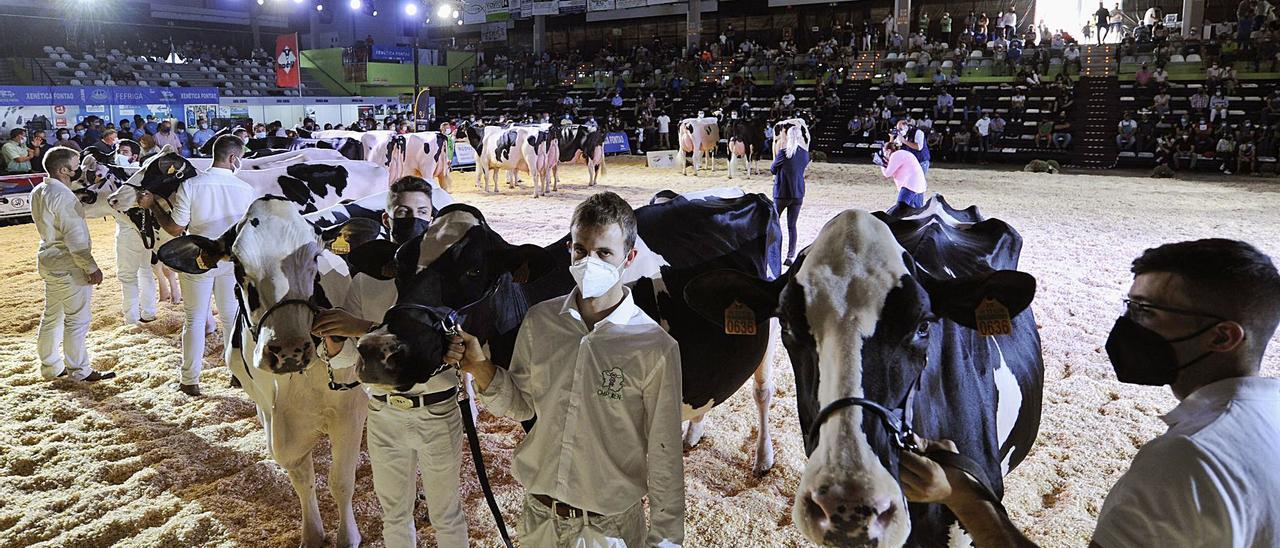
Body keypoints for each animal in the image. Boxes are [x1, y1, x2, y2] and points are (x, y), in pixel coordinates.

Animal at [353, 190, 788, 473]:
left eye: (474, 269)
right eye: (399, 262)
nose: (379, 349)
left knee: (762, 391)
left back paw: (763, 458)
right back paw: (693, 432)